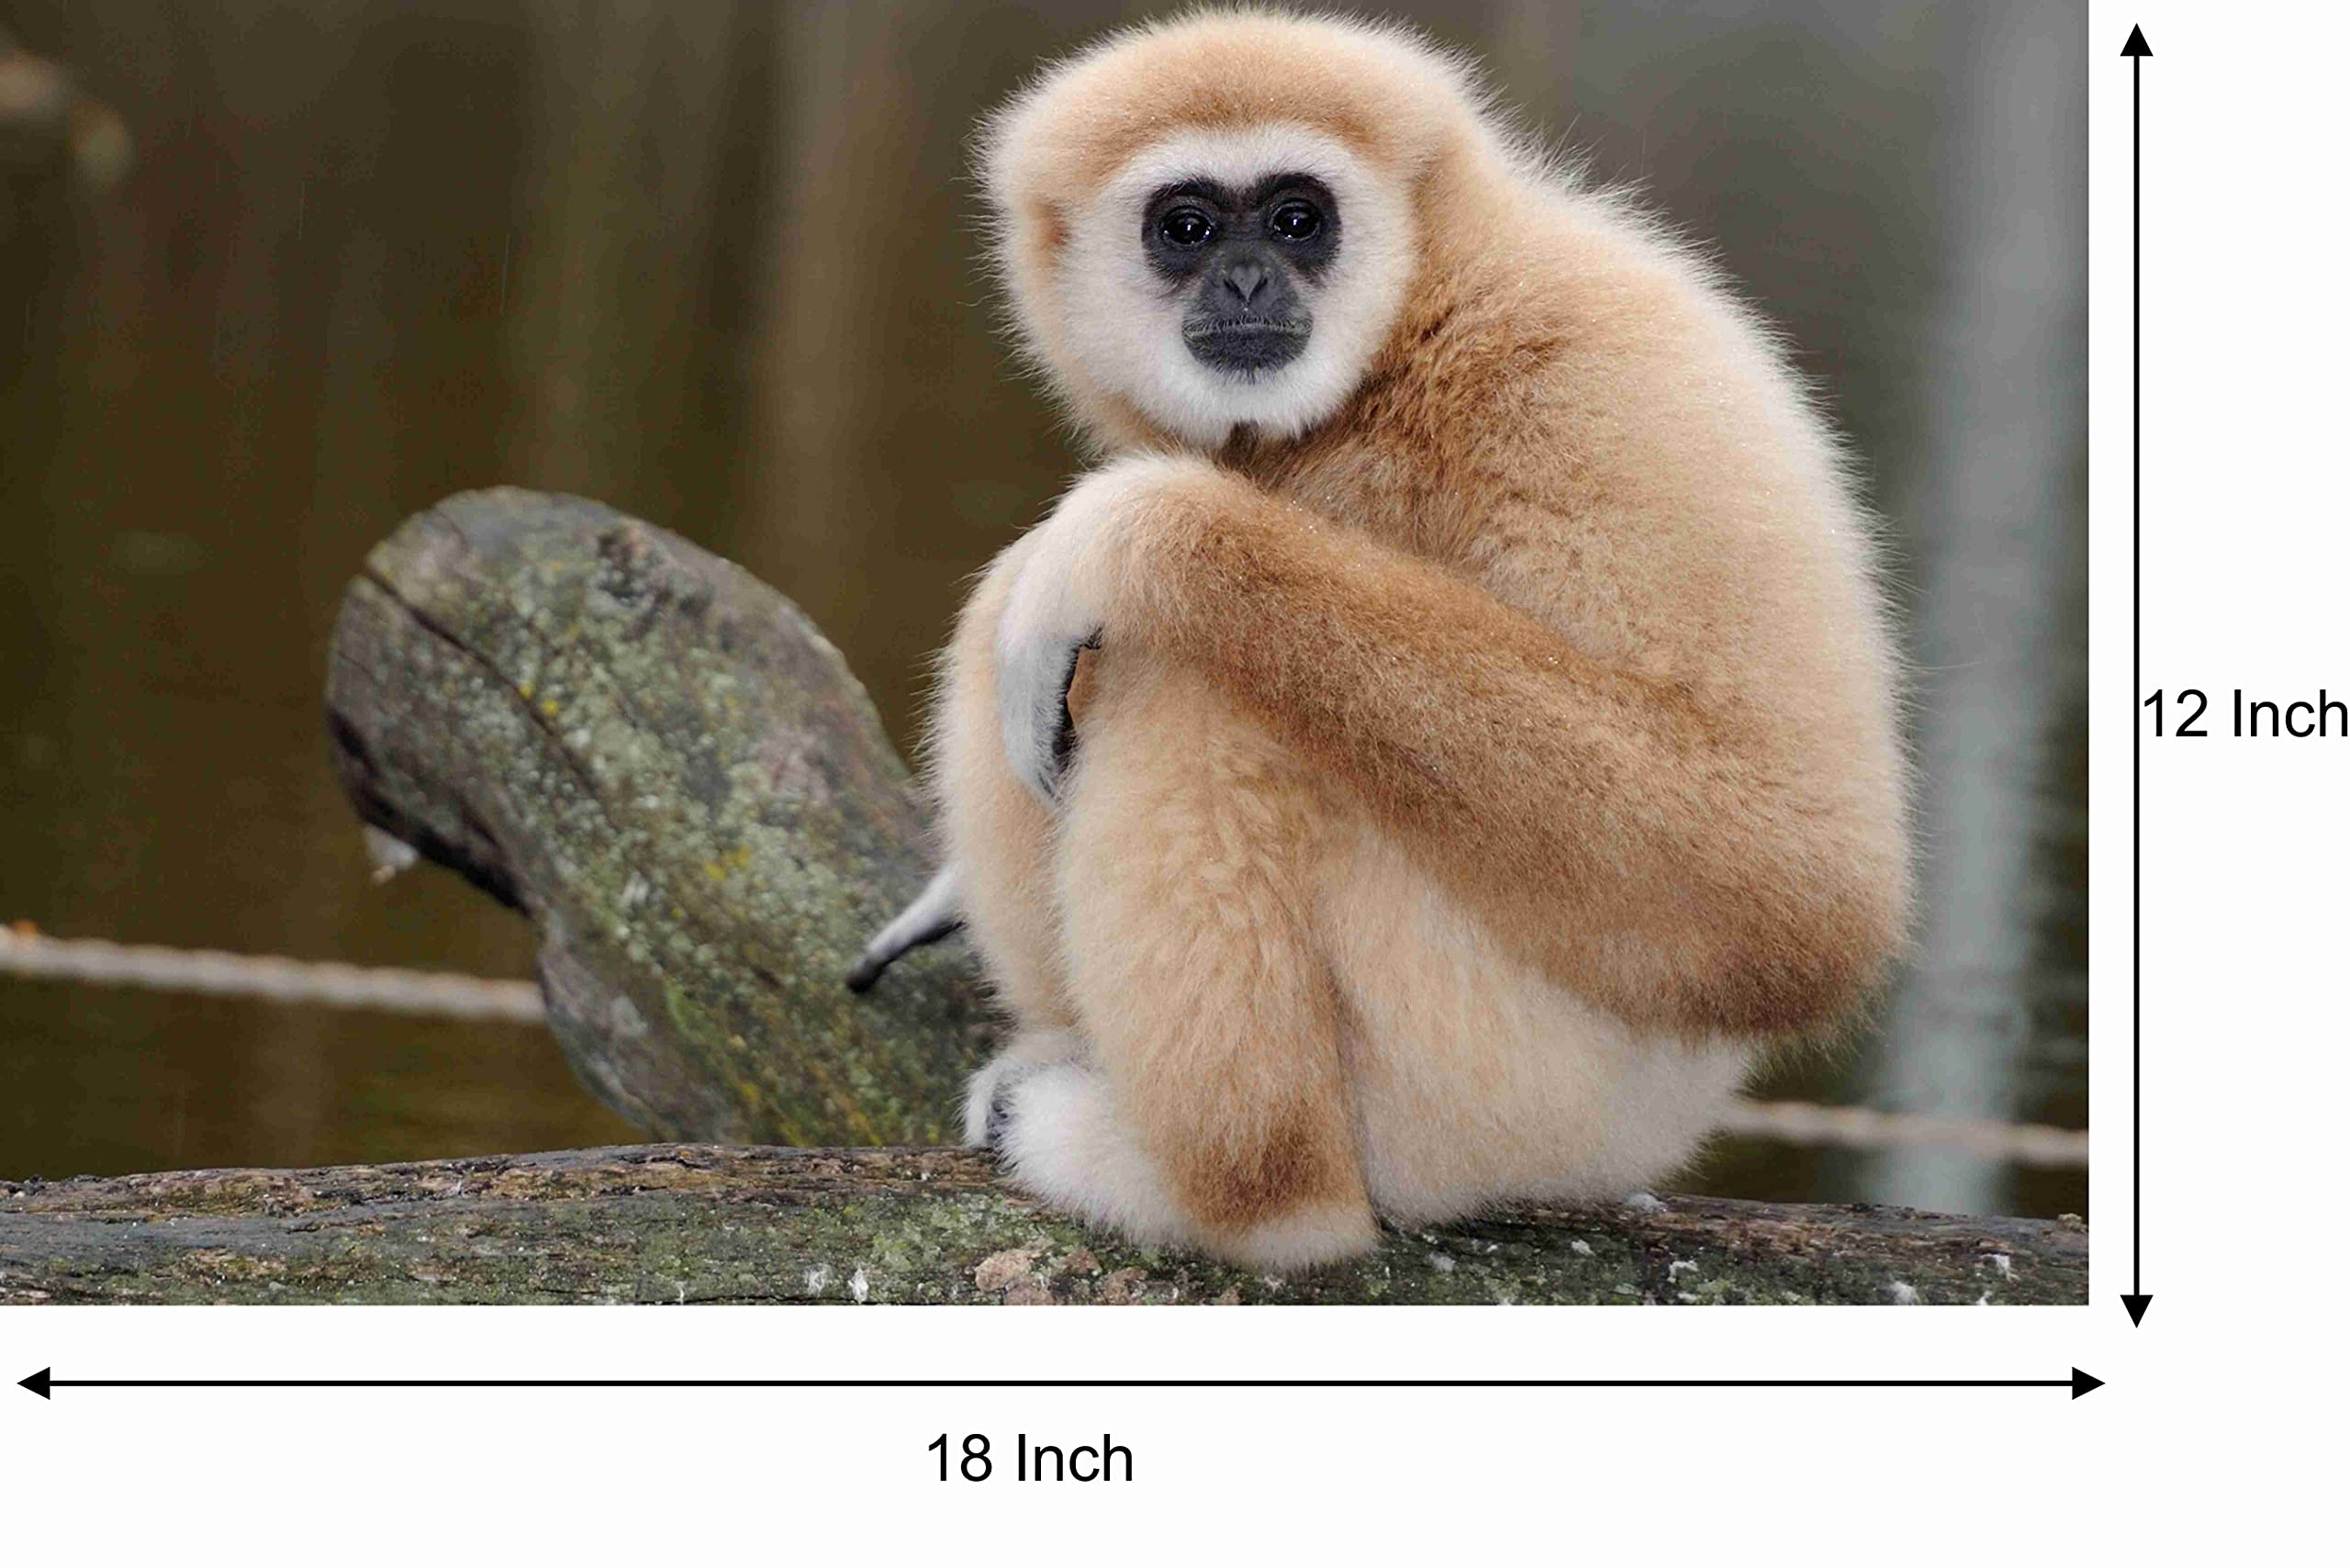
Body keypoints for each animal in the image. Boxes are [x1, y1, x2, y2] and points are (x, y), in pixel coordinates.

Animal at [856, 11, 1911, 1269]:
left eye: (1298, 219)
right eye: (1187, 226)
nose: (1246, 274)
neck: (1404, 342)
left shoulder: (1599, 374)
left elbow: (1790, 885)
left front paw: (1133, 532)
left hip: (1495, 1085)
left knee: (1179, 678)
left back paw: (1241, 1200)